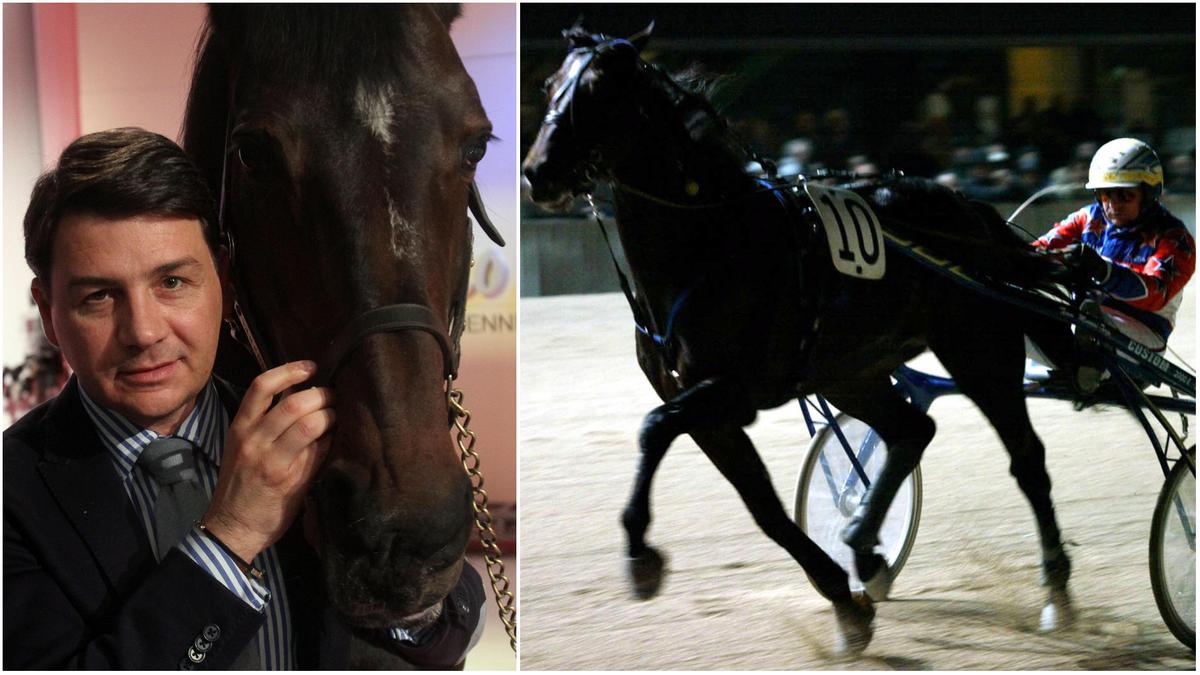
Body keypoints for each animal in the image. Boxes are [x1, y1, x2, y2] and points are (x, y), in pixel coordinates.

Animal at [522, 25, 1074, 656]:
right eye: (549, 85)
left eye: (597, 93)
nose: (536, 173)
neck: (708, 242)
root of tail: (971, 209)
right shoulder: (710, 412)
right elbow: (764, 509)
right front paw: (846, 604)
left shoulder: (731, 390)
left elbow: (653, 429)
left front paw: (640, 554)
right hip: (850, 372)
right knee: (913, 430)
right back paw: (865, 549)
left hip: (978, 350)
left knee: (1026, 459)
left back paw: (1057, 594)